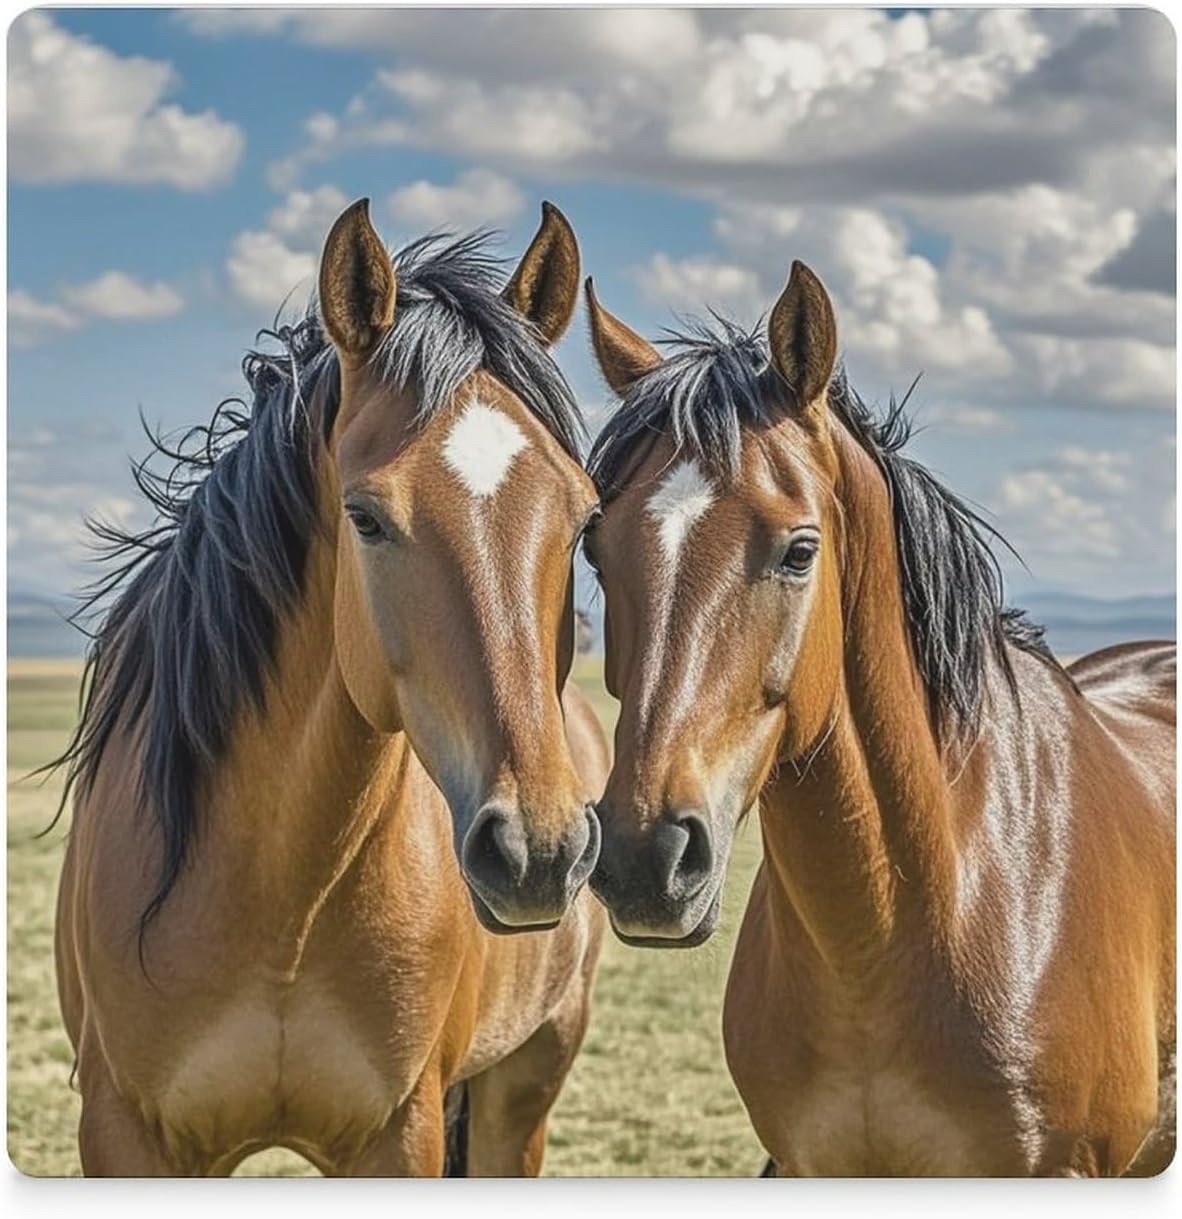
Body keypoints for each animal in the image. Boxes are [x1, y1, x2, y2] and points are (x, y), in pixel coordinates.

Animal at [51, 199, 608, 1176]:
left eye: (582, 516)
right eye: (367, 517)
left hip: (526, 1082)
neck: (282, 894)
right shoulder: (126, 1132)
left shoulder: (400, 1132)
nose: (538, 851)